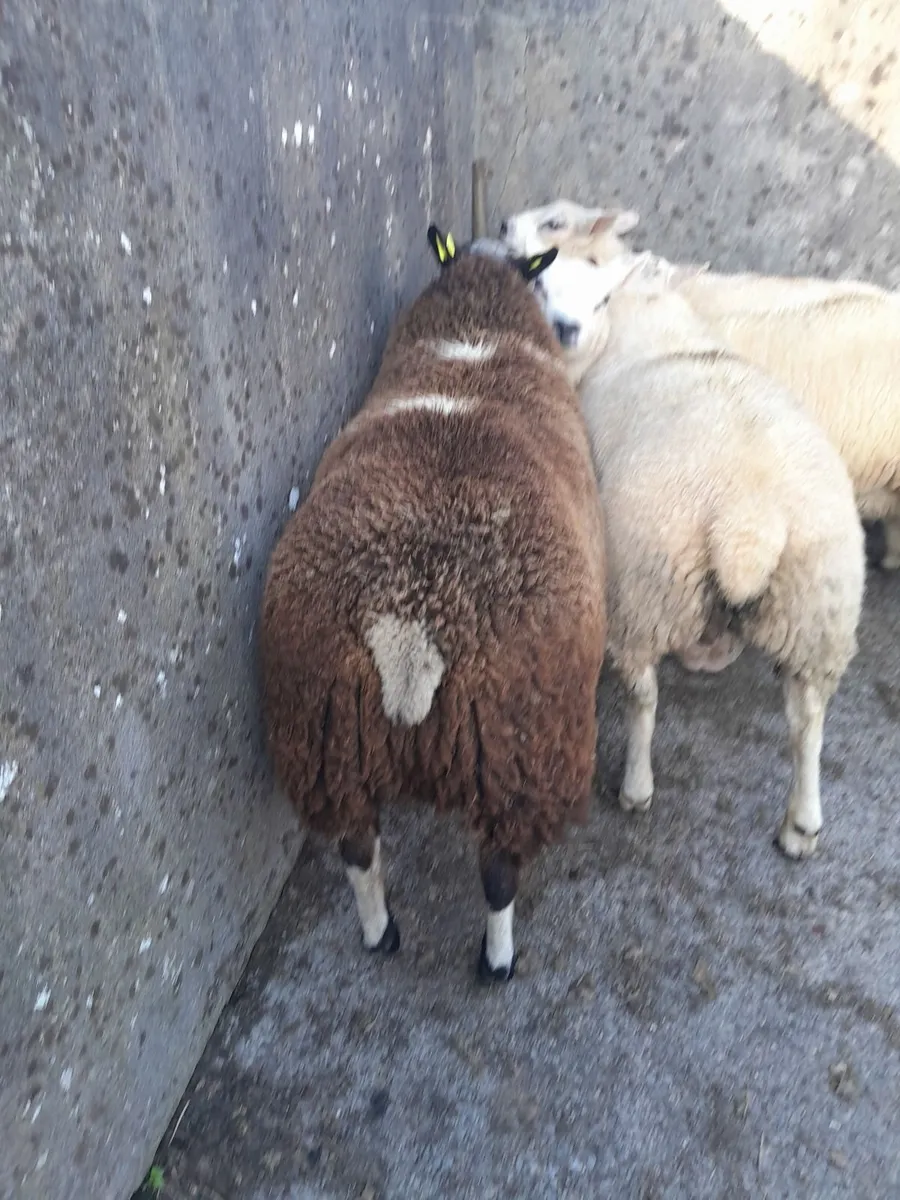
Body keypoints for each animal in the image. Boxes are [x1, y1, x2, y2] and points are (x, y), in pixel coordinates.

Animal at [259, 227, 608, 982]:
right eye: (539, 277)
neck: (473, 337)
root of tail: (409, 626)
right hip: (522, 755)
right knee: (499, 874)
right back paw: (496, 962)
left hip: (323, 738)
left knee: (358, 849)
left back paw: (380, 933)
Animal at [532, 249, 865, 859]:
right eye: (541, 284)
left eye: (599, 297)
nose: (566, 328)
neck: (649, 320)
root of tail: (749, 522)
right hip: (815, 608)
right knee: (807, 721)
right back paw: (801, 825)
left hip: (646, 584)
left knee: (643, 696)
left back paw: (636, 787)